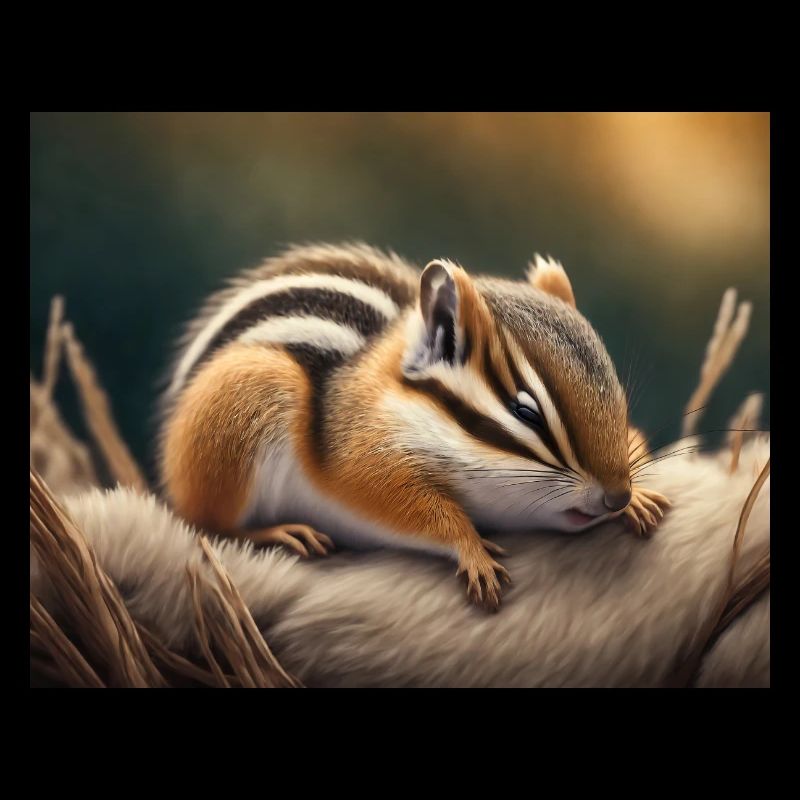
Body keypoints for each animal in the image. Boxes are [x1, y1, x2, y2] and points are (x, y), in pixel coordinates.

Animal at [158, 243, 669, 611]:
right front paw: (473, 551)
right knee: (205, 521)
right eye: (526, 412)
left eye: (616, 394)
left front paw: (642, 499)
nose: (617, 496)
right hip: (250, 395)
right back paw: (279, 532)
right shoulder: (359, 458)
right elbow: (413, 508)